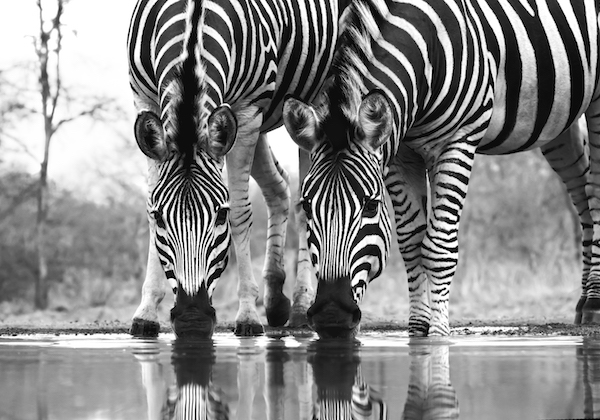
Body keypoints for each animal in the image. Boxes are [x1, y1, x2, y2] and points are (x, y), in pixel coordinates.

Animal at [127, 0, 352, 336]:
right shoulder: (146, 102)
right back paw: (275, 300)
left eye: (219, 215)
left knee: (303, 203)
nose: (191, 318)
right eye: (161, 217)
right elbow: (150, 204)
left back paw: (300, 307)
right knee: (279, 187)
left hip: (310, 105)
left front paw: (247, 313)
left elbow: (240, 213)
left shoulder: (247, 112)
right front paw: (146, 311)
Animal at [284, 0, 600, 336]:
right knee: (580, 189)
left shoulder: (458, 139)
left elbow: (437, 247)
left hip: (596, 101)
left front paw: (438, 335)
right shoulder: (399, 152)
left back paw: (594, 302)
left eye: (371, 206)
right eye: (306, 206)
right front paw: (417, 329)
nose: (331, 316)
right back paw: (584, 301)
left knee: (595, 191)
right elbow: (411, 243)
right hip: (559, 118)